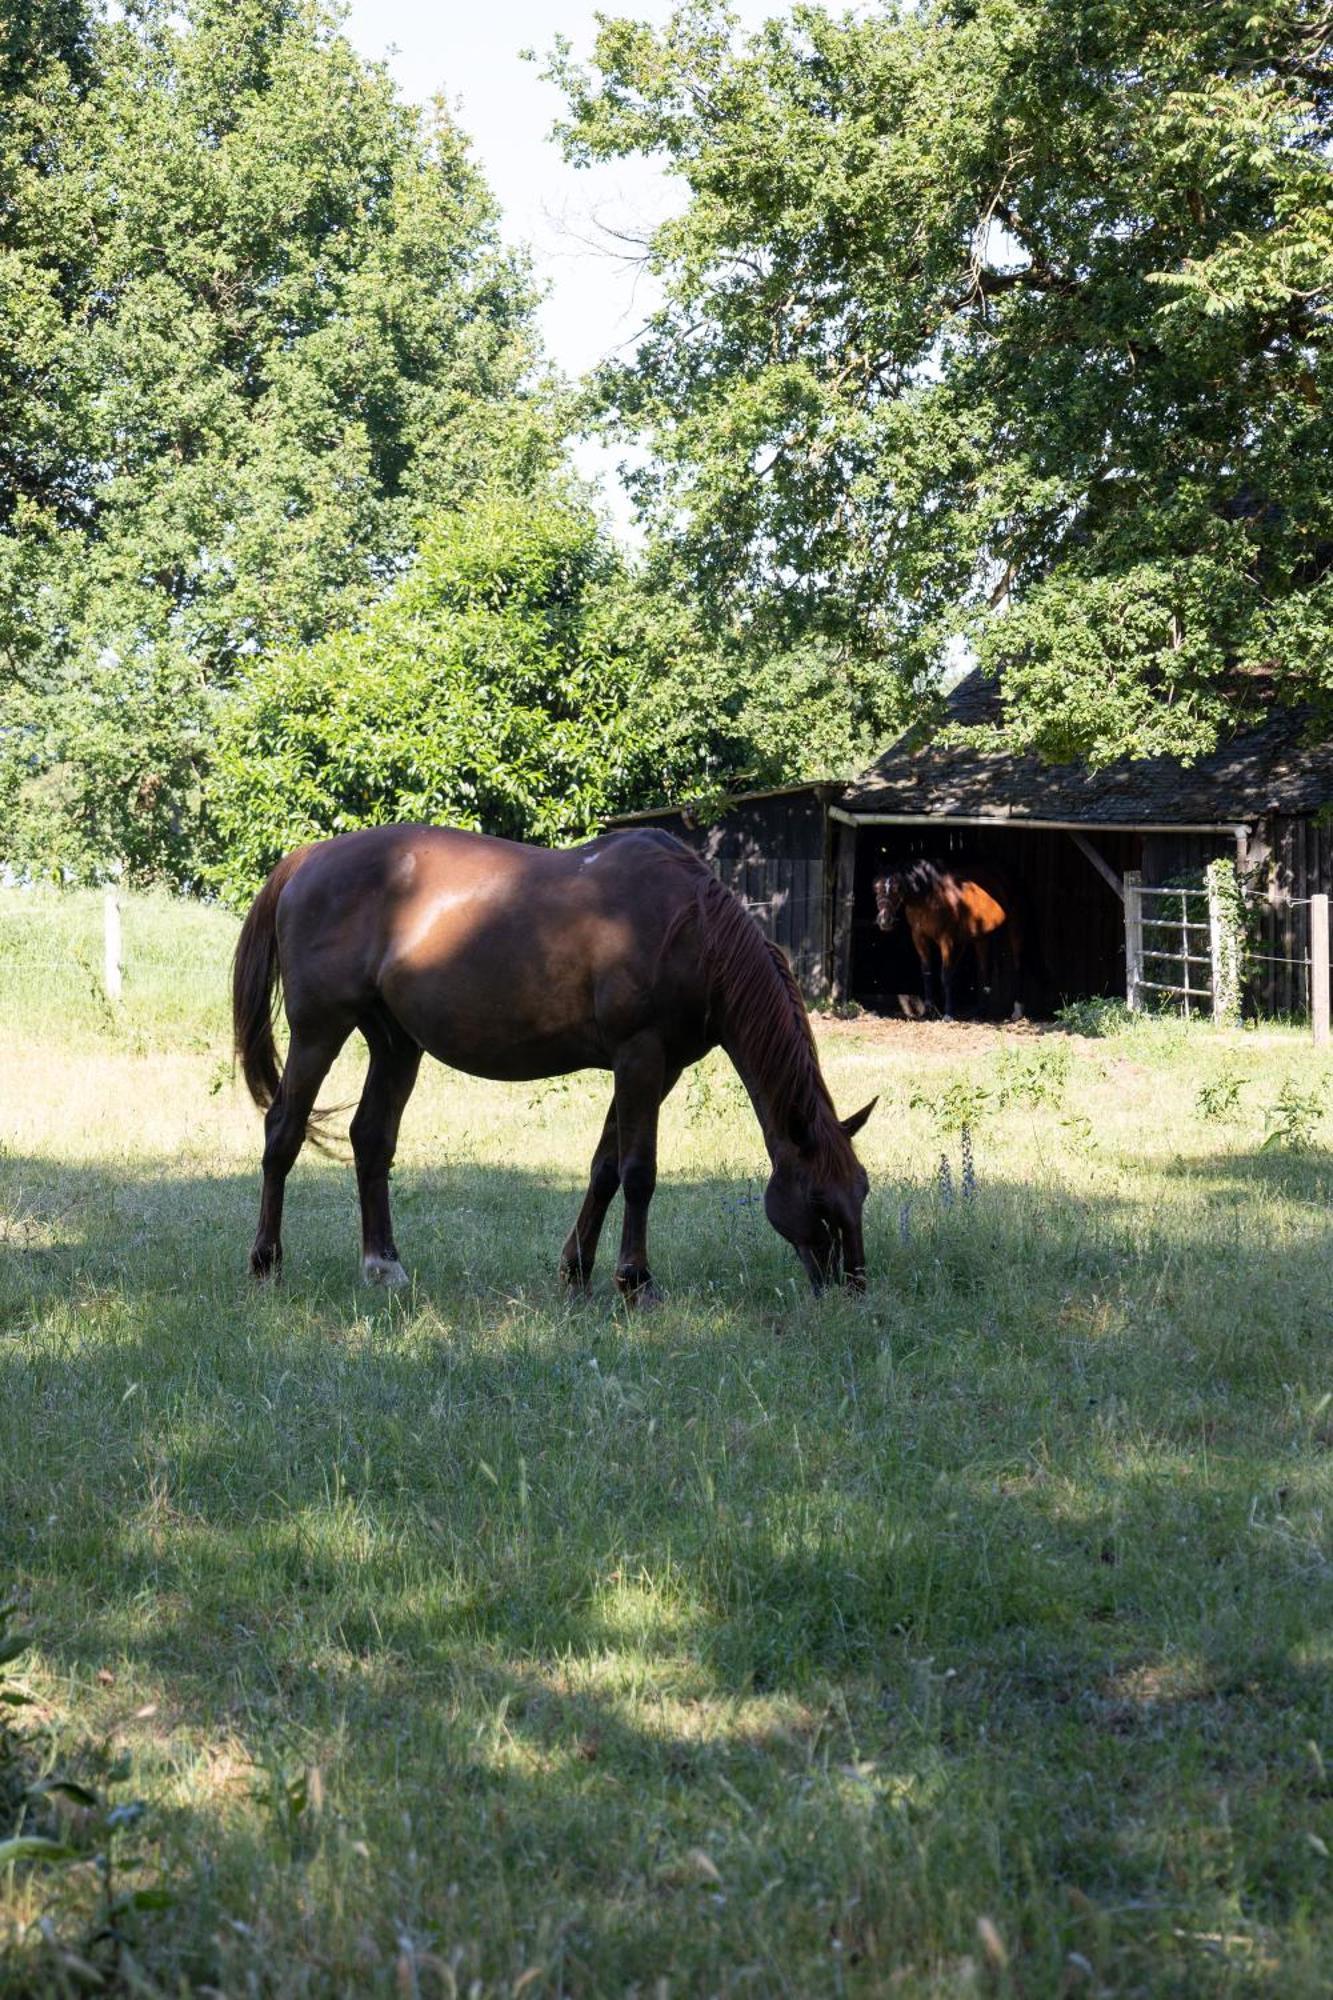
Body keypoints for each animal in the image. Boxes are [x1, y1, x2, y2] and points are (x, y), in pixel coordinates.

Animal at [231, 824, 872, 1296]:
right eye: (818, 1199)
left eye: (861, 1190)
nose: (854, 1287)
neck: (689, 928)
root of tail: (309, 859)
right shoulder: (640, 1057)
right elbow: (639, 1172)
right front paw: (635, 1281)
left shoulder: (657, 1069)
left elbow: (605, 1168)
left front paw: (577, 1271)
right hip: (319, 1032)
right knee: (283, 1132)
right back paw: (265, 1263)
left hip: (395, 1044)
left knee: (371, 1140)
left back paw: (384, 1266)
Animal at [868, 856, 1020, 1024]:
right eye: (875, 887)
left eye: (898, 888)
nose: (885, 921)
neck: (928, 898)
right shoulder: (919, 937)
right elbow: (927, 972)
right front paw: (929, 1010)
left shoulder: (946, 940)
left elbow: (945, 974)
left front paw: (948, 1014)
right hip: (980, 937)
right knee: (982, 970)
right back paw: (980, 1012)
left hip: (1012, 928)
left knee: (1016, 965)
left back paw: (1016, 1011)